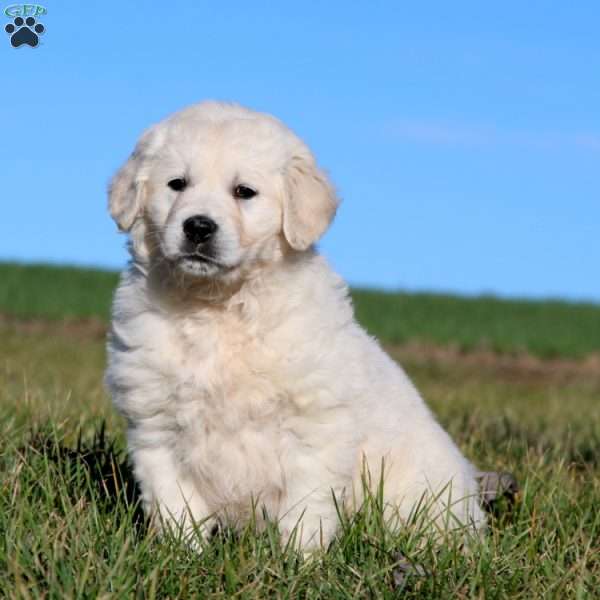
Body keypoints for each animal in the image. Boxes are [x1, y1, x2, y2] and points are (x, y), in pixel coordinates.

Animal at [105, 101, 486, 552]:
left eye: (243, 191)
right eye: (176, 184)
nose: (198, 226)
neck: (218, 307)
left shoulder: (315, 427)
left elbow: (306, 508)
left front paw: (297, 560)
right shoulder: (155, 425)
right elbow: (174, 505)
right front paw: (182, 555)